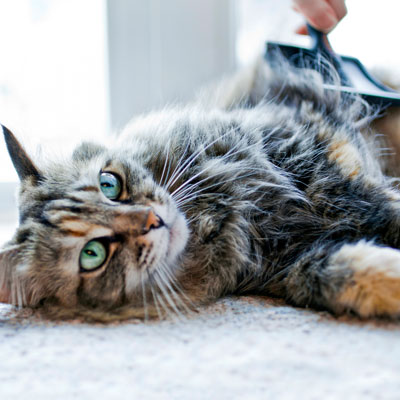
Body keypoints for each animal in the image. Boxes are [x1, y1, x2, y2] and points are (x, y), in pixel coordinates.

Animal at [0, 58, 400, 322]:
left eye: (108, 184)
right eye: (92, 254)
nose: (153, 220)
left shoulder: (319, 155)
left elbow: (385, 208)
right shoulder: (291, 265)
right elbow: (346, 273)